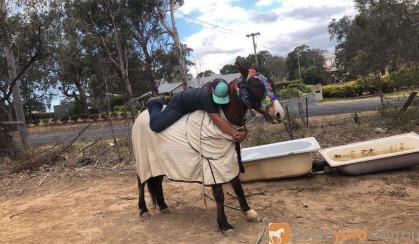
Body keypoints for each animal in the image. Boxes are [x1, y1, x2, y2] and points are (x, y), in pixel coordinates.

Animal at [135, 63, 286, 232]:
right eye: (256, 86)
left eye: (271, 83)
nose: (279, 114)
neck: (223, 121)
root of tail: (139, 119)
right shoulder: (212, 164)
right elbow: (219, 195)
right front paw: (224, 224)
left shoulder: (229, 160)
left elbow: (238, 187)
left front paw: (248, 212)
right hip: (143, 162)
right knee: (141, 182)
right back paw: (143, 209)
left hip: (159, 163)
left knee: (158, 182)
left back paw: (163, 206)